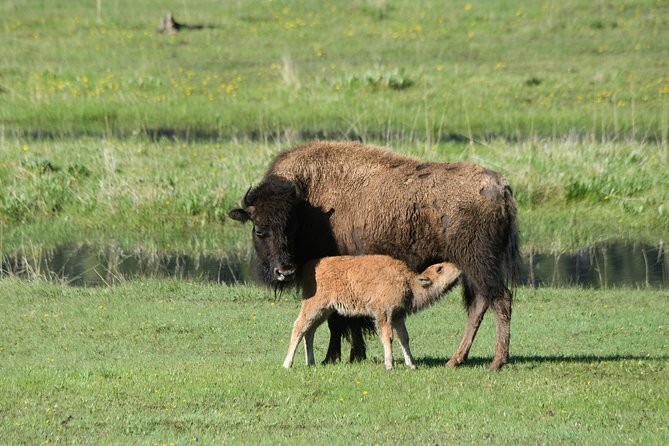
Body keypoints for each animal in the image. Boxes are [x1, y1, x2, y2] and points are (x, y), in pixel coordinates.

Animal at [282, 256, 460, 372]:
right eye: (439, 268)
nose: (458, 267)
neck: (408, 281)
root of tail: (310, 267)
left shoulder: (397, 316)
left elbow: (404, 338)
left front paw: (412, 365)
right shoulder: (383, 314)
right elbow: (388, 337)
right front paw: (390, 365)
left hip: (325, 310)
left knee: (309, 331)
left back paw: (310, 363)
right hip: (314, 306)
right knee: (299, 326)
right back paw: (287, 364)